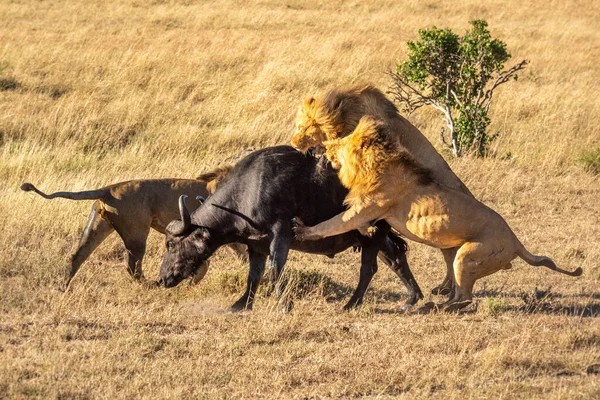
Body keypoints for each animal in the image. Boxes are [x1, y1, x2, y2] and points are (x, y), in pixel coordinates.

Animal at [158, 147, 422, 312]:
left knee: (369, 268)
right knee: (396, 258)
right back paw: (411, 298)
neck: (246, 192)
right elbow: (254, 276)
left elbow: (275, 271)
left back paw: (351, 303)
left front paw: (285, 304)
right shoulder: (256, 246)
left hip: (371, 234)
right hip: (377, 234)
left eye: (170, 244)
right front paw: (241, 304)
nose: (161, 279)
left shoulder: (281, 233)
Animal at [292, 115, 584, 312]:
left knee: (466, 298)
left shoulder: (369, 206)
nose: (319, 148)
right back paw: (436, 301)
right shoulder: (370, 212)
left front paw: (302, 229)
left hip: (469, 255)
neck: (379, 165)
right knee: (459, 292)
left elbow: (333, 223)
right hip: (456, 252)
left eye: (338, 144)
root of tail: (517, 243)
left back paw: (437, 307)